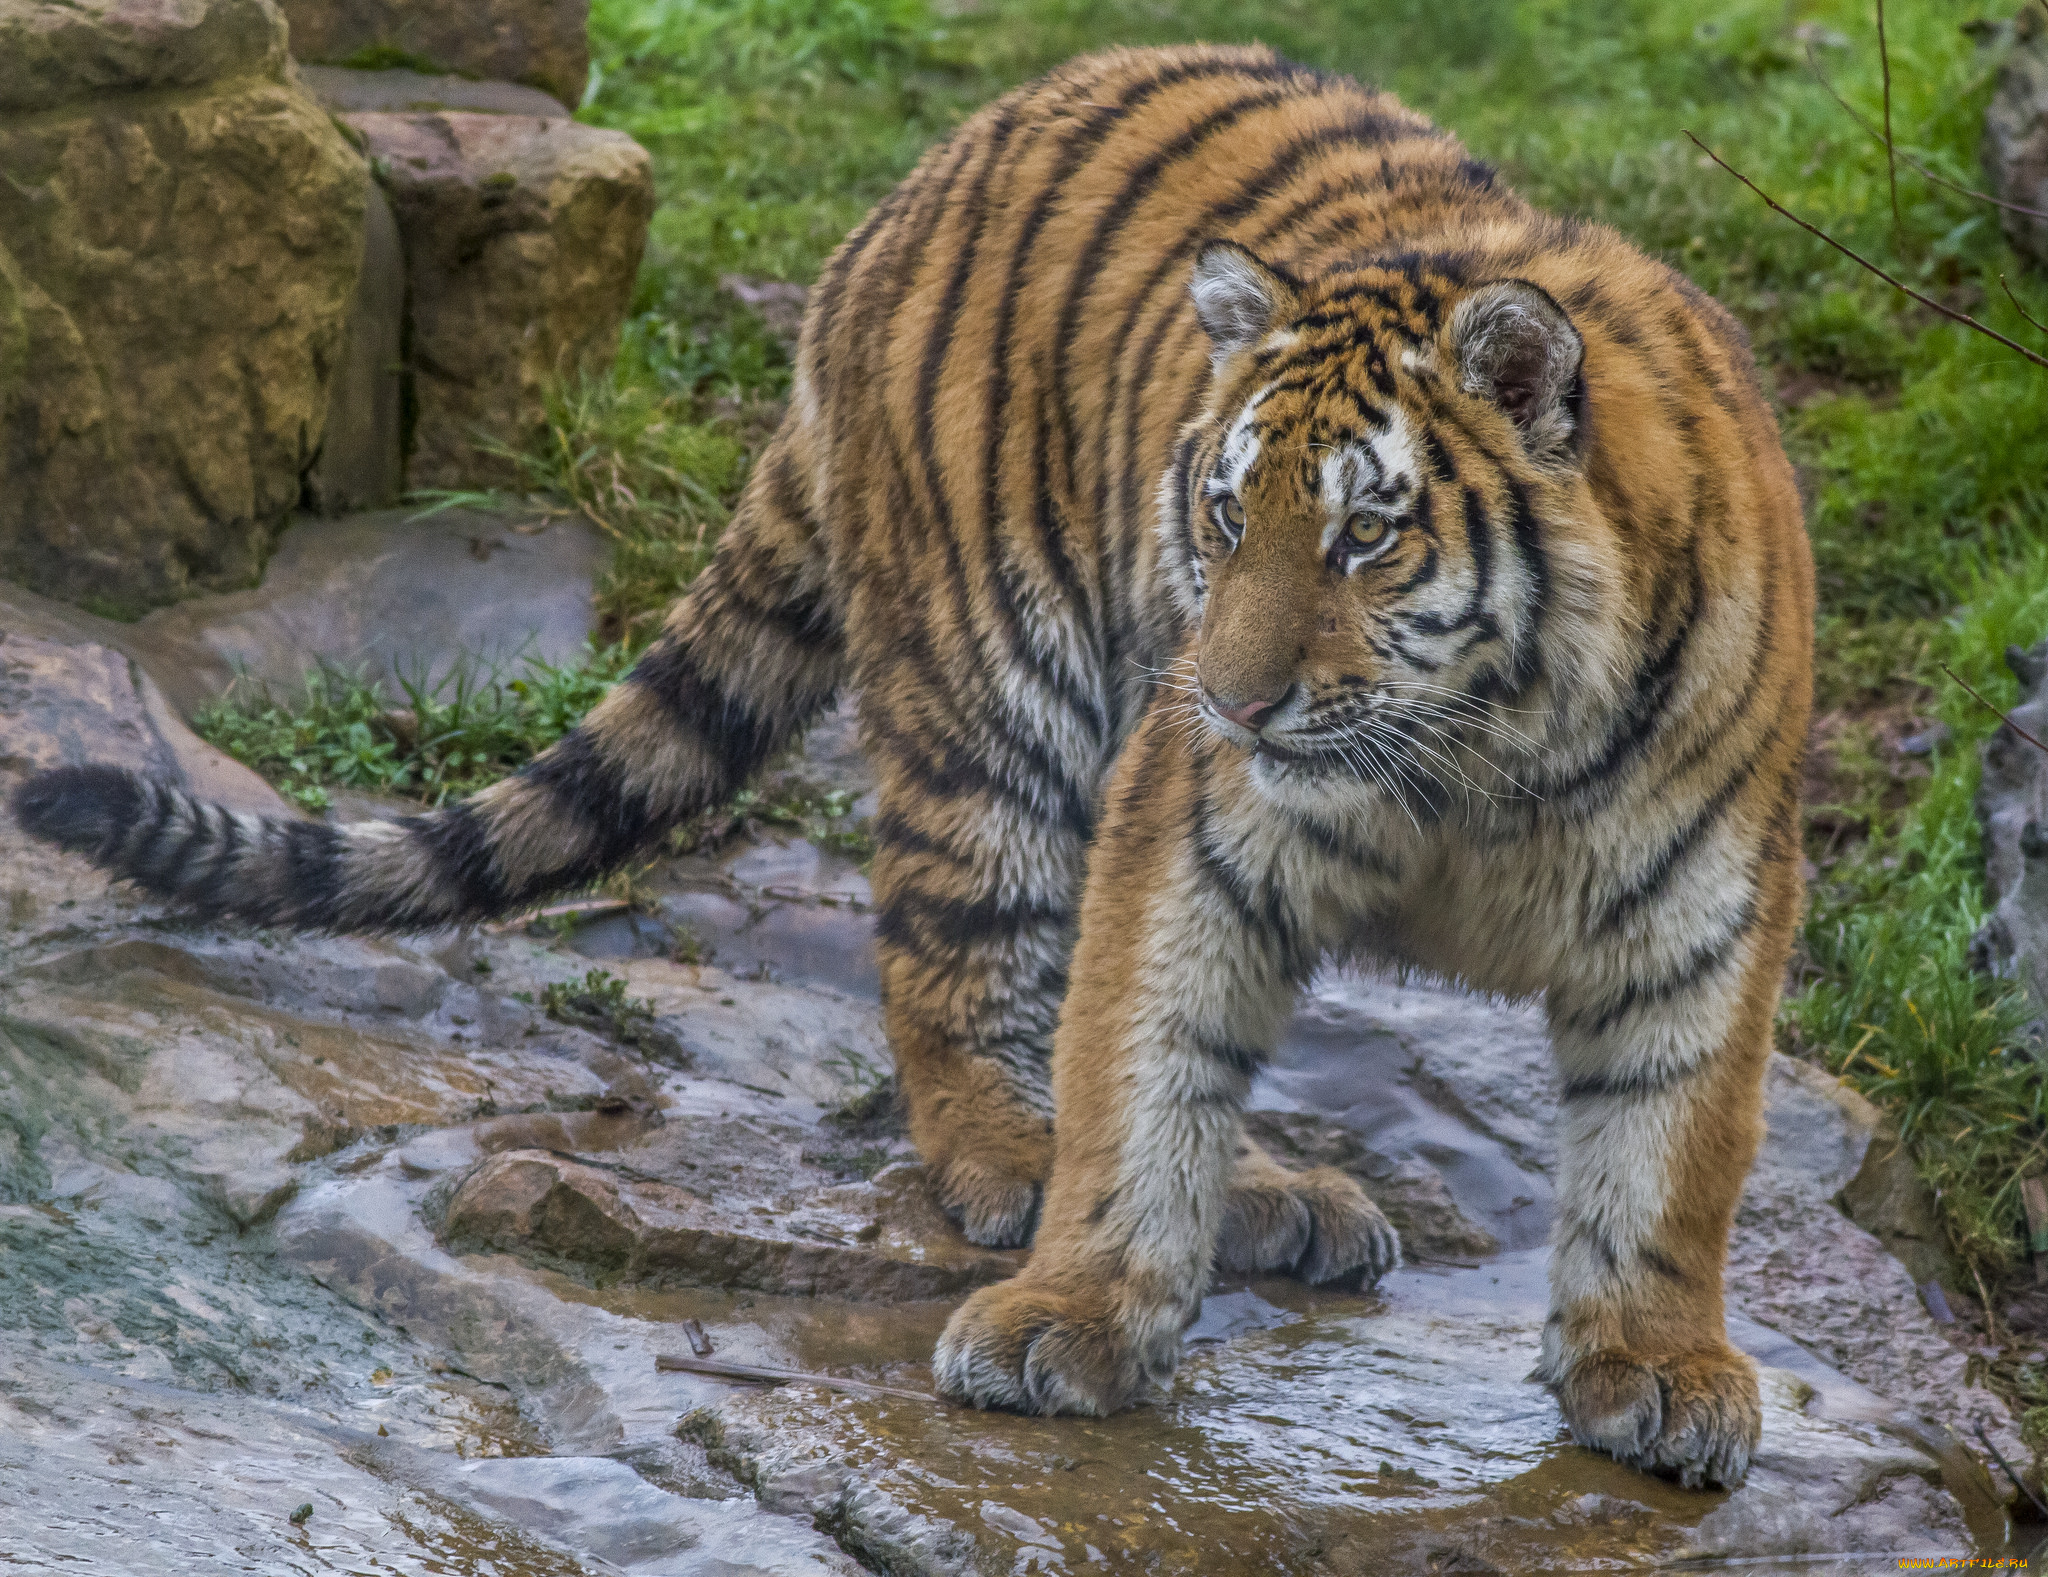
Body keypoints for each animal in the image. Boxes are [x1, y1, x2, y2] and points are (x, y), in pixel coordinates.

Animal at [14, 42, 1812, 1489]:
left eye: (1366, 537)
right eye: (1228, 516)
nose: (1228, 704)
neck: (1478, 758)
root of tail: (918, 180)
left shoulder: (1706, 897)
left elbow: (1671, 1153)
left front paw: (1655, 1370)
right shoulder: (1190, 825)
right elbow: (1138, 1067)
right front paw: (1072, 1315)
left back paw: (1267, 1191)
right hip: (994, 692)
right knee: (952, 967)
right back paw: (1038, 1162)